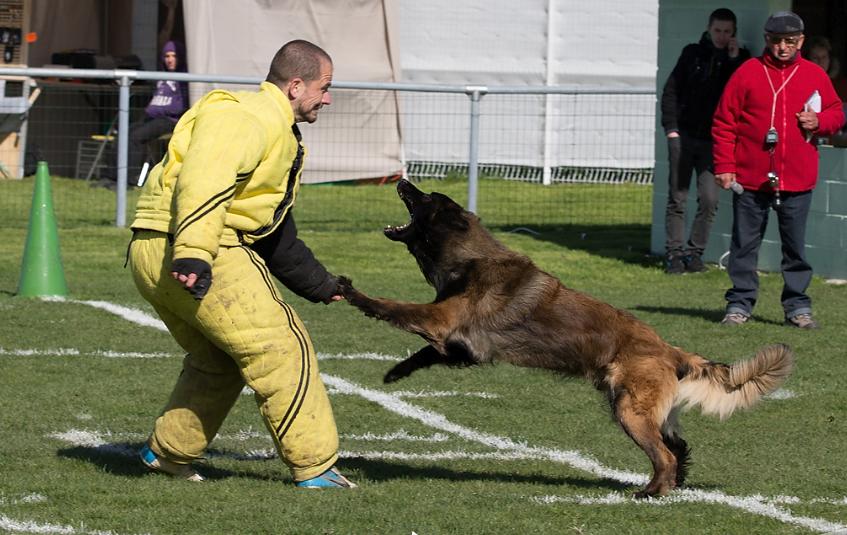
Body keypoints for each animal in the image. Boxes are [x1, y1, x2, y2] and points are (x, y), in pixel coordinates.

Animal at [338, 180, 796, 498]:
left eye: (424, 198)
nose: (402, 179)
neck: (469, 257)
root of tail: (671, 349)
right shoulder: (460, 346)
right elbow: (423, 352)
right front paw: (396, 374)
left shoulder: (441, 321)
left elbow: (391, 306)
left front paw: (350, 291)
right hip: (640, 409)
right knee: (679, 447)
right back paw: (674, 485)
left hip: (630, 411)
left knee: (665, 454)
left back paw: (652, 492)